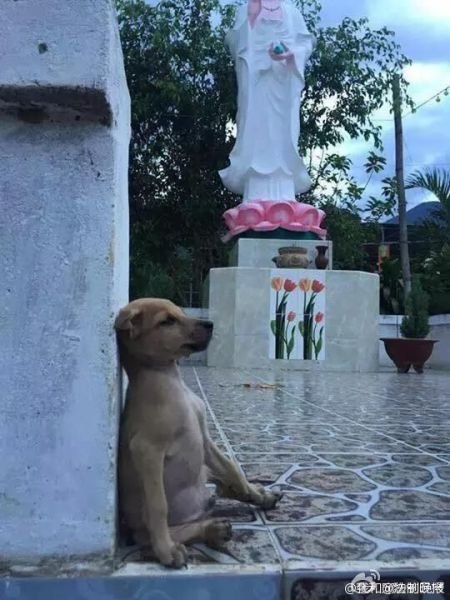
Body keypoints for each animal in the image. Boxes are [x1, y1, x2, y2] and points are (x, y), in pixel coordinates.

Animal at [114, 298, 280, 568]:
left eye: (180, 312)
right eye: (167, 321)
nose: (210, 324)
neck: (170, 380)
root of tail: (204, 508)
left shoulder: (203, 438)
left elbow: (232, 468)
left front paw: (250, 491)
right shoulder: (147, 450)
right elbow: (158, 505)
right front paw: (166, 550)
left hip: (203, 471)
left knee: (223, 484)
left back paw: (259, 494)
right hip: (146, 529)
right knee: (167, 533)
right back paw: (211, 530)